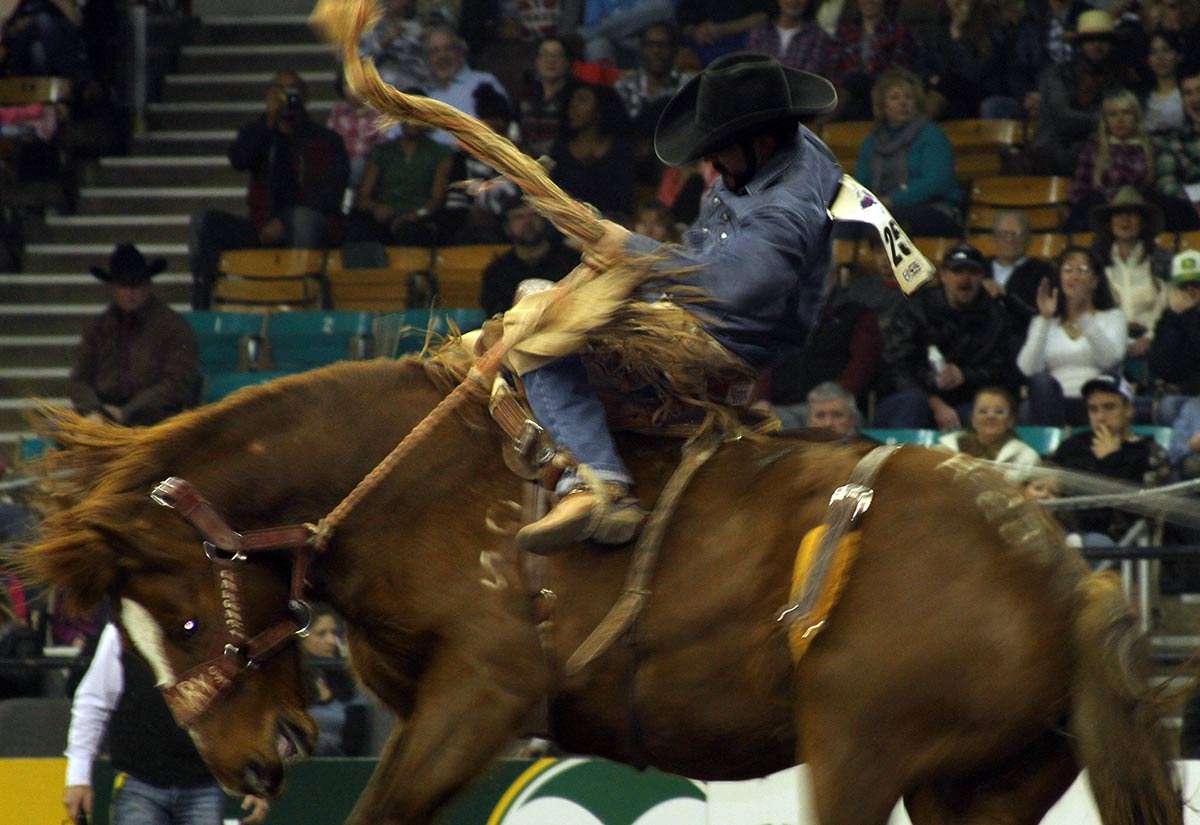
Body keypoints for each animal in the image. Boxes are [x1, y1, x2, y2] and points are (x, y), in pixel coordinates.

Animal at [18, 354, 1180, 825]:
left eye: (180, 618)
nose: (259, 763)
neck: (415, 483)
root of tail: (1065, 576)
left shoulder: (480, 695)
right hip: (981, 784)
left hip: (860, 746)